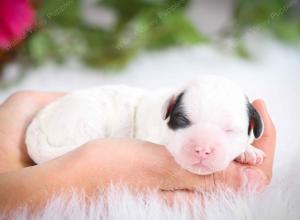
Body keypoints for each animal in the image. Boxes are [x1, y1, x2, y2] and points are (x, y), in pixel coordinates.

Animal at [26, 75, 264, 174]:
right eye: (183, 121)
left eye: (229, 130)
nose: (202, 149)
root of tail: (38, 123)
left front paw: (248, 152)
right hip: (83, 120)